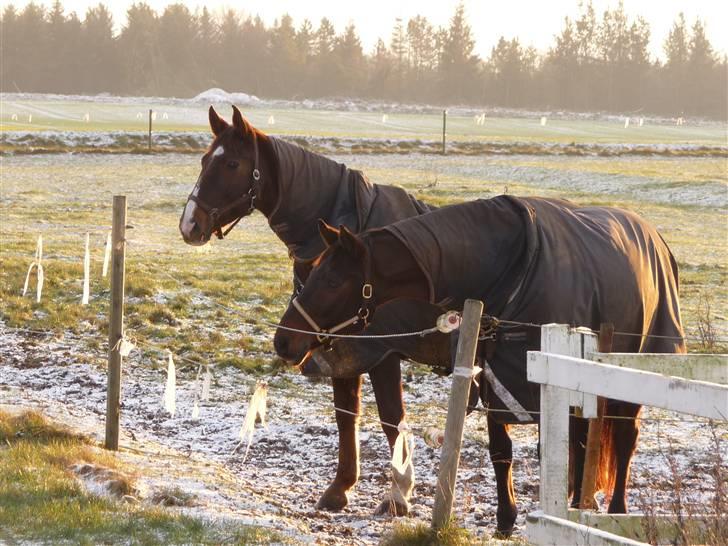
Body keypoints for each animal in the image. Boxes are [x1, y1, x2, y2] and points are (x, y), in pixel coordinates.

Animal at [180, 105, 436, 516]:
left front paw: (399, 493)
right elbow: (345, 414)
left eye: (232, 163)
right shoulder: (340, 347)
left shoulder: (382, 353)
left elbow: (391, 419)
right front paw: (341, 487)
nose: (190, 224)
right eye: (205, 160)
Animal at [274, 194, 688, 532]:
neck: (512, 270)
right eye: (311, 272)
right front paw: (506, 519)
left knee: (624, 438)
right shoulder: (493, 379)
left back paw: (616, 510)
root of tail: (657, 239)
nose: (284, 340)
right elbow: (501, 451)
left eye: (331, 281)